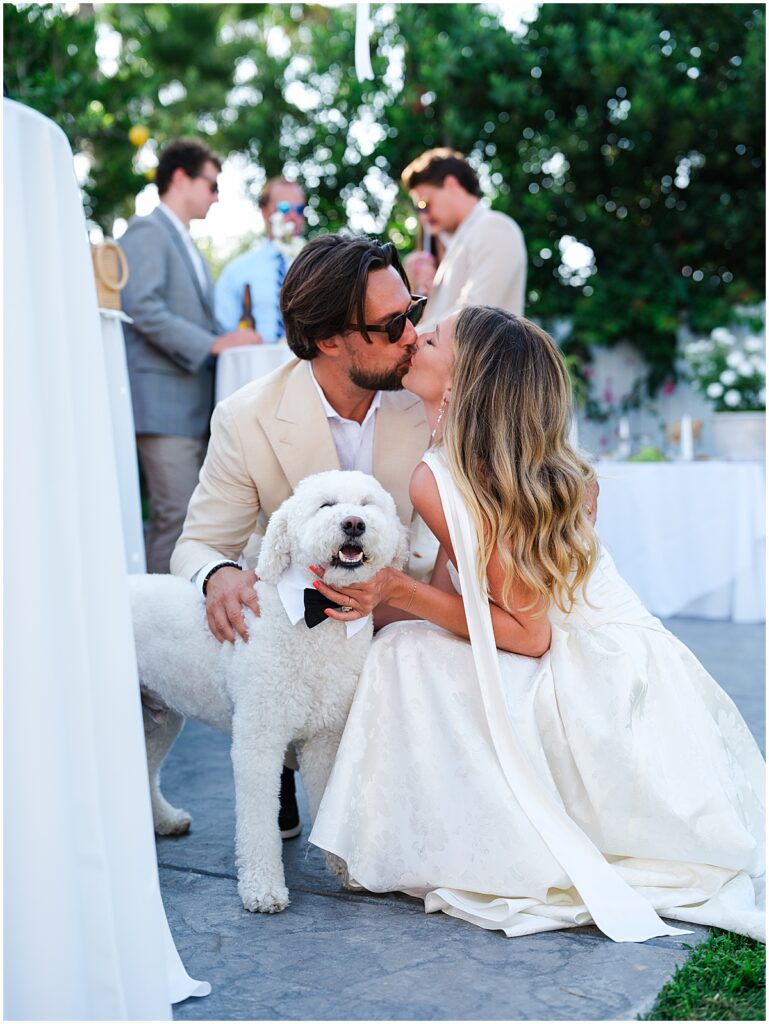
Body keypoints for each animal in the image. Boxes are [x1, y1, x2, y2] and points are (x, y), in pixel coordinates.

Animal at [131, 468, 409, 913]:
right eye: (326, 505)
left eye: (368, 505)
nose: (354, 524)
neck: (315, 617)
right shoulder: (258, 742)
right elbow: (258, 823)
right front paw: (262, 889)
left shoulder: (326, 738)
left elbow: (329, 798)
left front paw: (343, 867)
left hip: (158, 720)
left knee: (148, 769)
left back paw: (164, 820)